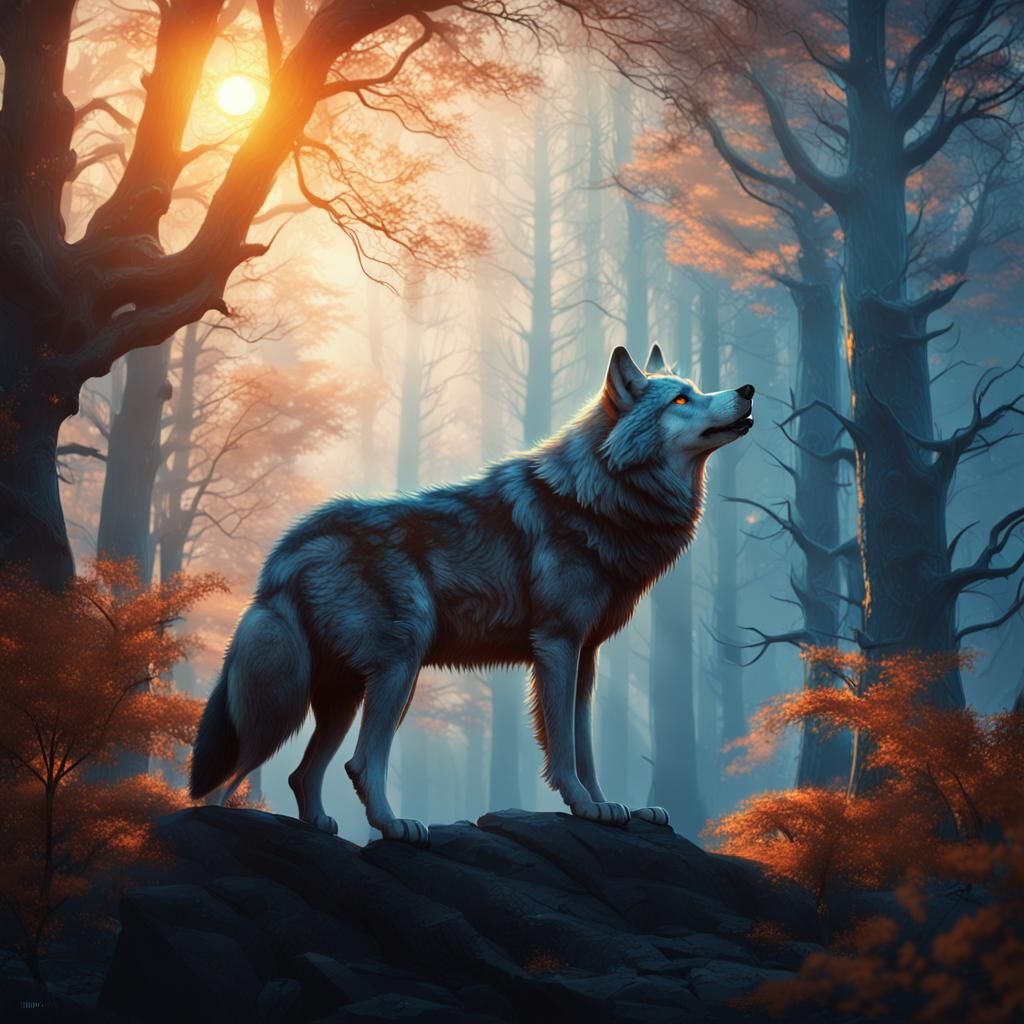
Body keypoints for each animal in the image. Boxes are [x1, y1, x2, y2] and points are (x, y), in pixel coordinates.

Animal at [190, 344, 754, 845]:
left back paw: (320, 828)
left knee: (301, 773)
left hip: (344, 694)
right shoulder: (556, 646)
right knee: (343, 764)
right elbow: (563, 748)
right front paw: (583, 805)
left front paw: (613, 807)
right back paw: (393, 826)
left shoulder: (586, 655)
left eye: (698, 390)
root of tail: (283, 553)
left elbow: (586, 747)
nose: (747, 390)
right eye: (680, 399)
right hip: (388, 669)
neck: (595, 495)